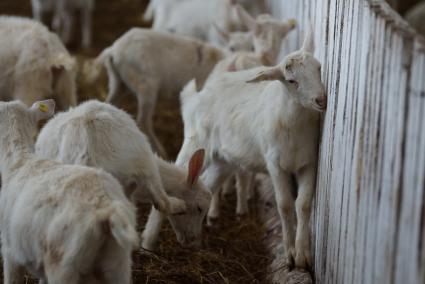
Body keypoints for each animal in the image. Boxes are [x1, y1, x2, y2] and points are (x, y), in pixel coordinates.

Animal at [35, 101, 211, 250]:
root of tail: (84, 137)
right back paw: (176, 205)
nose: (194, 241)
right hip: (143, 157)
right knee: (162, 202)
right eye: (199, 208)